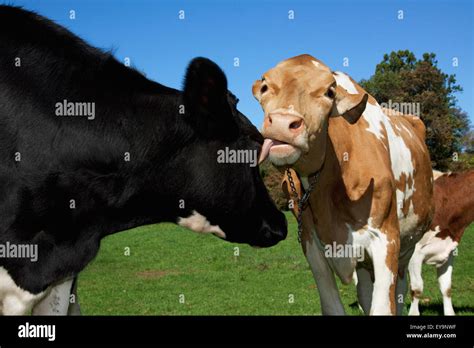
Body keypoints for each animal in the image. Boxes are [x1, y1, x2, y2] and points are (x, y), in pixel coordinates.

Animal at [254, 54, 436, 316]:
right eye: (265, 86)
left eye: (329, 92)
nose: (282, 122)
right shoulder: (311, 242)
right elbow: (334, 306)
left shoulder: (386, 238)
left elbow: (384, 307)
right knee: (365, 293)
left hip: (407, 247)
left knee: (399, 291)